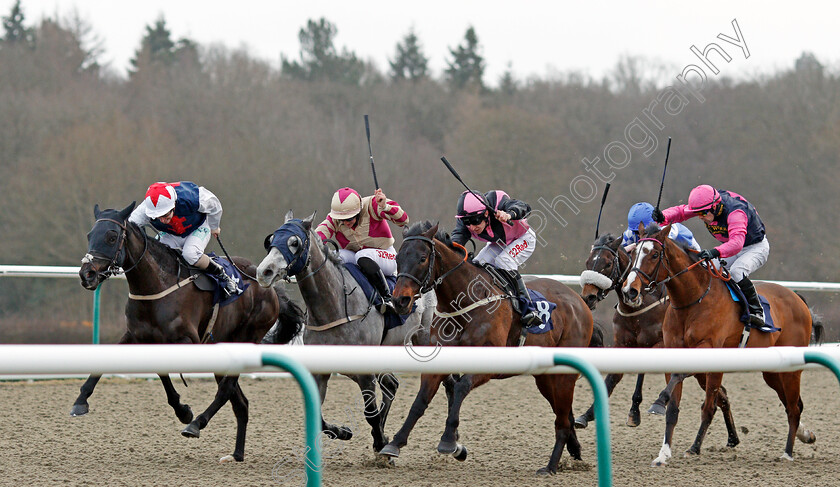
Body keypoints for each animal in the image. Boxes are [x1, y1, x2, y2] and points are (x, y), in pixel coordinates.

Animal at [76, 204, 306, 464]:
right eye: (89, 235)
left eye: (112, 236)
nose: (86, 275)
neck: (158, 286)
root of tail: (271, 290)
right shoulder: (138, 337)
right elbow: (146, 370)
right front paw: (80, 401)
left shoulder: (188, 341)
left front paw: (187, 415)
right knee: (240, 402)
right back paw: (236, 453)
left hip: (249, 336)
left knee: (226, 390)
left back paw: (197, 424)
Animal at [254, 212, 436, 456]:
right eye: (271, 240)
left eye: (294, 243)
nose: (264, 272)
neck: (334, 308)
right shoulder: (320, 372)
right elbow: (318, 416)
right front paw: (344, 432)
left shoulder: (365, 373)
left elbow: (370, 413)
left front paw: (380, 442)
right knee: (391, 385)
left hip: (423, 337)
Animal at [378, 222, 592, 476]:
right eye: (398, 258)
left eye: (422, 258)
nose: (400, 301)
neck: (464, 302)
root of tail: (579, 301)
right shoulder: (438, 363)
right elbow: (419, 402)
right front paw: (394, 443)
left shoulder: (488, 365)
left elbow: (461, 387)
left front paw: (449, 441)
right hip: (546, 378)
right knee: (564, 414)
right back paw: (574, 452)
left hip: (563, 376)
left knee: (562, 420)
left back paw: (550, 467)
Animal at [620, 225, 824, 466]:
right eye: (633, 253)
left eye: (653, 255)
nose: (630, 291)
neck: (692, 301)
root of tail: (798, 299)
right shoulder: (673, 351)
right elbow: (674, 409)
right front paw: (663, 454)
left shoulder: (709, 351)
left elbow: (707, 405)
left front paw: (692, 445)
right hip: (772, 371)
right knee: (794, 404)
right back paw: (805, 435)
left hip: (790, 370)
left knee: (792, 408)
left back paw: (787, 453)